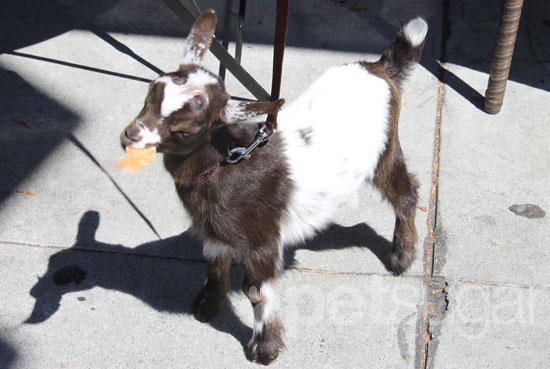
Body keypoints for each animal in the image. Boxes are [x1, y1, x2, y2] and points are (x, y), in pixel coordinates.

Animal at [121, 9, 432, 366]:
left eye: (184, 130)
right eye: (149, 94)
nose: (130, 135)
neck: (225, 162)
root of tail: (379, 68)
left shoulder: (261, 241)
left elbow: (256, 292)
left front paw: (265, 348)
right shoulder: (214, 231)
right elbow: (214, 262)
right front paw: (207, 305)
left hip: (385, 150)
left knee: (404, 193)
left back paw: (401, 256)